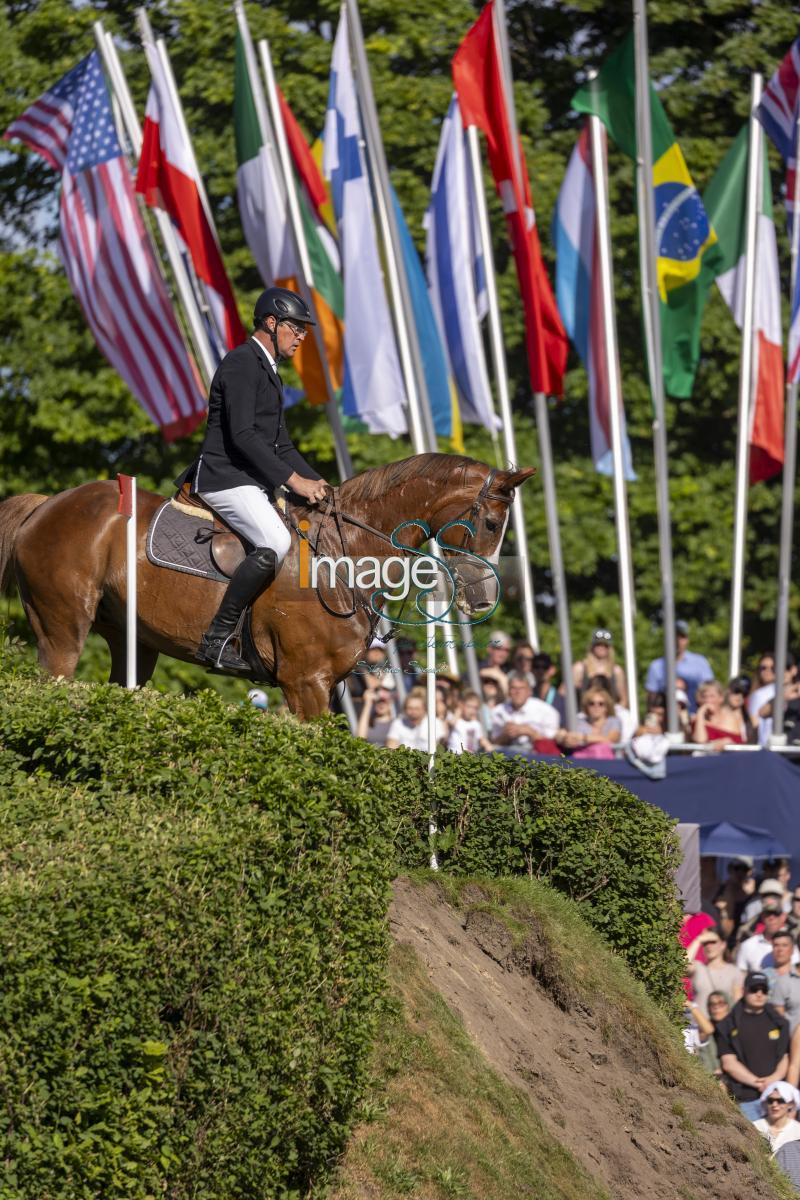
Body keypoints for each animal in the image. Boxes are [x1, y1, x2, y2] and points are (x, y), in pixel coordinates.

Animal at [1, 451, 537, 710]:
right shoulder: (306, 682)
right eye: (493, 524)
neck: (344, 557)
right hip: (61, 631)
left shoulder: (321, 686)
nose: (484, 599)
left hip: (132, 643)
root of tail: (48, 504)